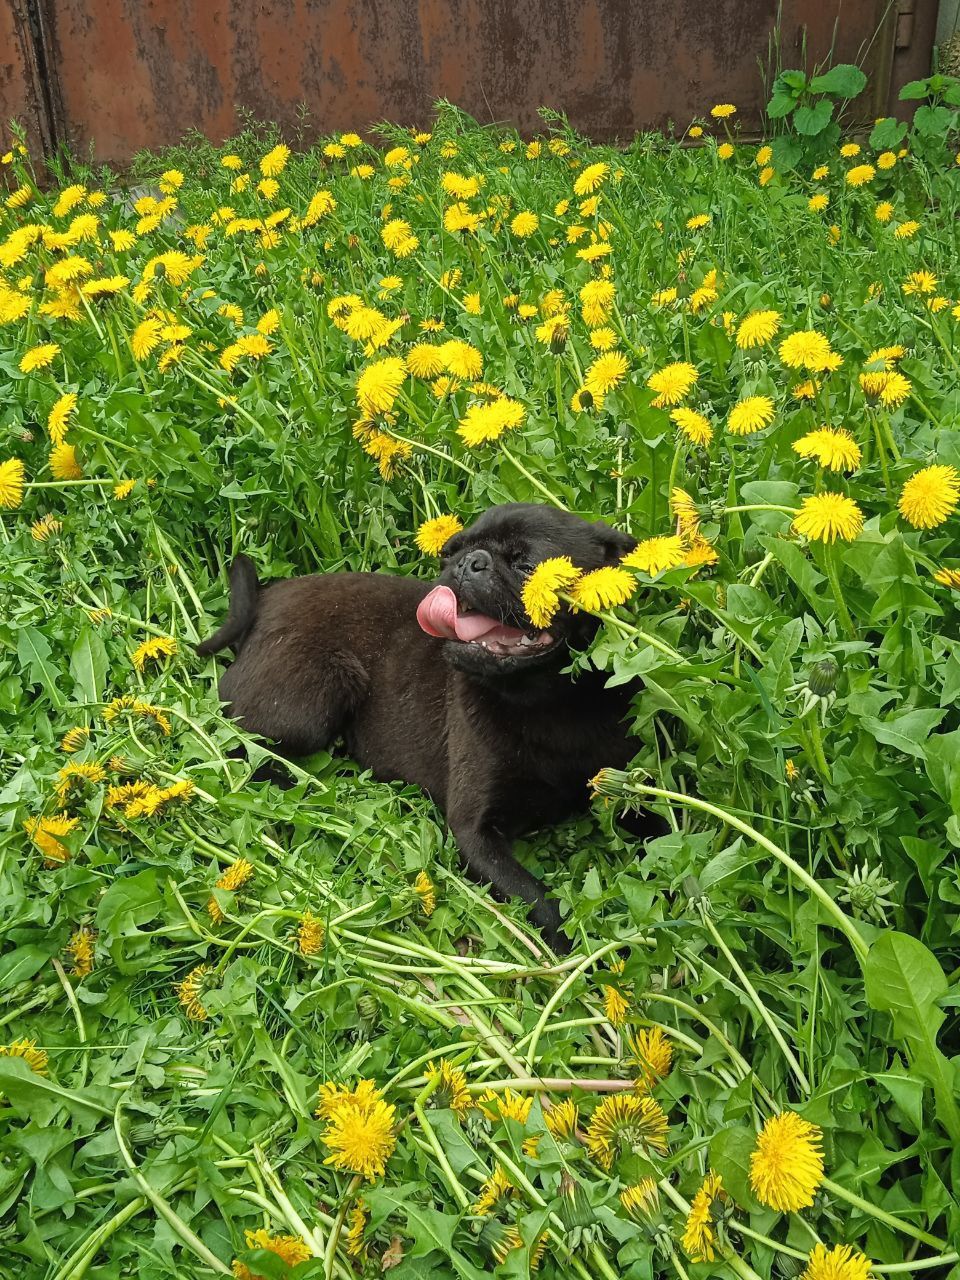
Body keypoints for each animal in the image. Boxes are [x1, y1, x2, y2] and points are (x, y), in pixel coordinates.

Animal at [198, 504, 655, 947]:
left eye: (527, 564)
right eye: (450, 552)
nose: (467, 563)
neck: (547, 703)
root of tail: (265, 599)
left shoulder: (630, 791)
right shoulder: (475, 833)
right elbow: (539, 900)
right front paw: (587, 957)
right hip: (313, 700)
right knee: (240, 744)